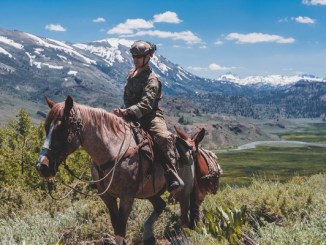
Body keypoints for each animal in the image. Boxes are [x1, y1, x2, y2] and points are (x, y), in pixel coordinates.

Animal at [35, 96, 204, 245]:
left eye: (62, 129)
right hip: (150, 192)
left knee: (184, 218)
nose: (42, 166)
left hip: (184, 191)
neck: (113, 150)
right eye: (46, 127)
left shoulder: (126, 196)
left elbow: (121, 228)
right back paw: (148, 235)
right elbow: (116, 225)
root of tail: (188, 146)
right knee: (160, 205)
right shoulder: (106, 196)